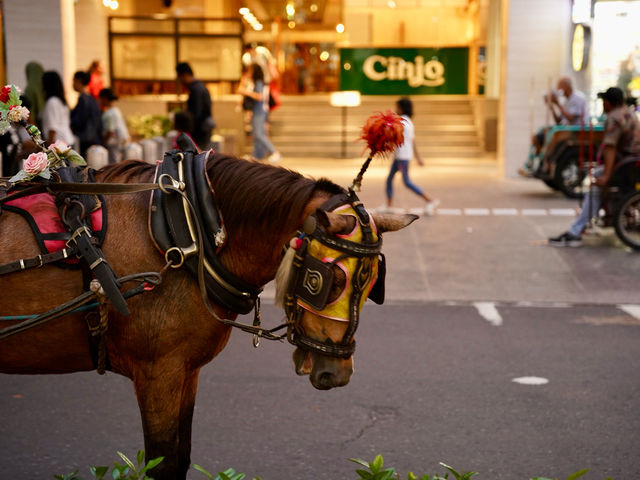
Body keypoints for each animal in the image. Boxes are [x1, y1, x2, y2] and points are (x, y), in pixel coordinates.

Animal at [0, 153, 416, 476]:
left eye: (374, 283)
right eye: (325, 281)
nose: (338, 373)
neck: (187, 232)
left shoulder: (185, 370)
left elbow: (182, 458)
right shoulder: (157, 374)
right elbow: (163, 465)